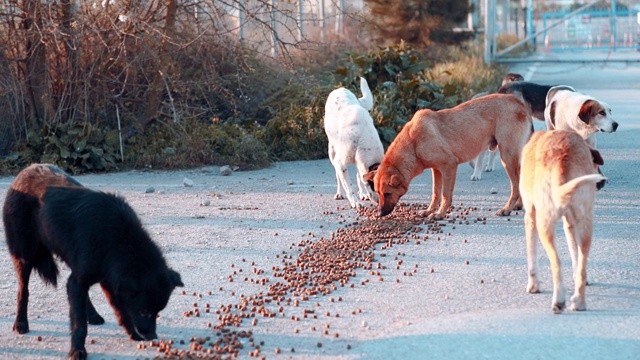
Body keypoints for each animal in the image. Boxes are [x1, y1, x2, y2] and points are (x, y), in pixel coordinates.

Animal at [3, 164, 182, 360]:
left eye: (158, 312)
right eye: (143, 311)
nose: (152, 336)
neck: (118, 241)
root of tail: (25, 171)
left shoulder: (108, 281)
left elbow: (122, 312)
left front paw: (132, 334)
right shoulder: (93, 280)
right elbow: (79, 323)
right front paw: (77, 350)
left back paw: (93, 315)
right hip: (24, 255)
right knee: (23, 291)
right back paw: (21, 323)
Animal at [322, 77, 382, 210]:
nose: (380, 204)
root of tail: (340, 88)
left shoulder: (360, 162)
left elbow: (360, 177)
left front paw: (363, 194)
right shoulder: (340, 164)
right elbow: (349, 186)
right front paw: (355, 202)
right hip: (332, 151)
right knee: (338, 176)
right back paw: (339, 193)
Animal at [364, 93, 528, 219]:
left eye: (387, 194)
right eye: (378, 193)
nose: (379, 214)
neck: (413, 143)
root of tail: (518, 101)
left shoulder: (449, 166)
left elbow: (445, 195)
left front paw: (440, 214)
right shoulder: (436, 170)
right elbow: (435, 193)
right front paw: (430, 210)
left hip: (507, 157)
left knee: (515, 186)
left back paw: (507, 209)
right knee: (519, 182)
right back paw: (519, 205)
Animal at [520, 131, 604, 314]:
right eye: (596, 165)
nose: (602, 182)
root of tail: (562, 155)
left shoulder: (530, 216)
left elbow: (532, 255)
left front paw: (533, 285)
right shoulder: (570, 223)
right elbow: (576, 257)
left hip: (544, 224)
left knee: (556, 263)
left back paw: (558, 300)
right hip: (585, 224)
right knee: (582, 267)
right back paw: (580, 302)